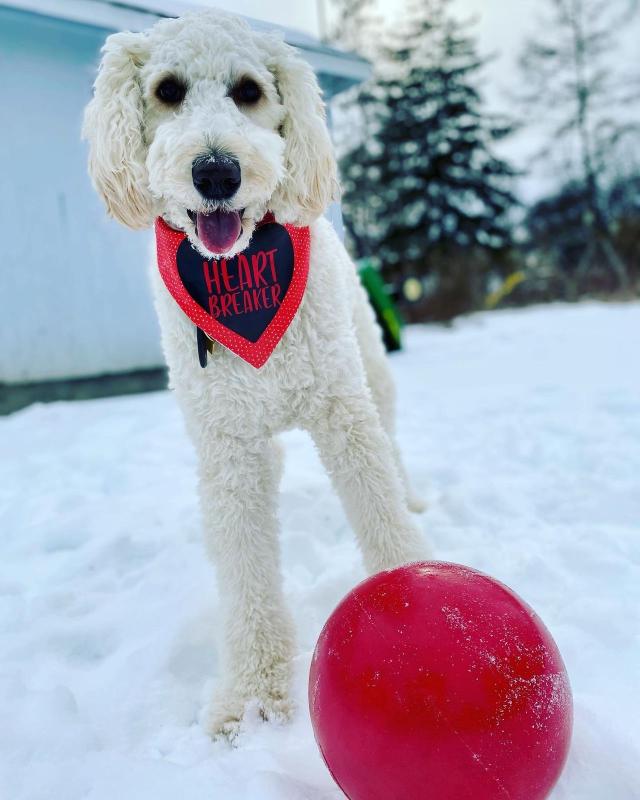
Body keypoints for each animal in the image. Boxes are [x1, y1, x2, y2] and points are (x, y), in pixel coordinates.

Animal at [82, 9, 428, 740]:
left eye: (248, 90)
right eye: (167, 90)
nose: (216, 171)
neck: (240, 269)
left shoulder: (342, 412)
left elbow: (380, 510)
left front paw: (418, 598)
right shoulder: (227, 448)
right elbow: (245, 571)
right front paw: (250, 695)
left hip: (369, 367)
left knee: (392, 443)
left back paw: (414, 495)